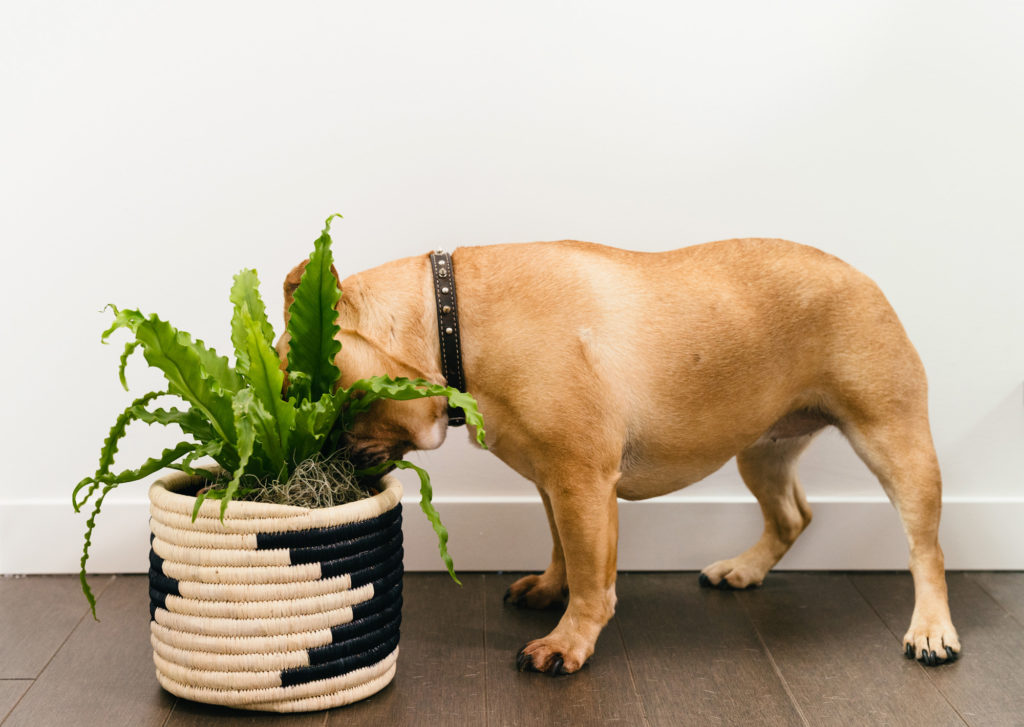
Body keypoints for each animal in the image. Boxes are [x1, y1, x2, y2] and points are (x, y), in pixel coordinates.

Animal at [274, 240, 958, 675]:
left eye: (301, 392)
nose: (323, 454)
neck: (451, 324)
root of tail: (860, 275)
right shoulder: (554, 482)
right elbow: (562, 549)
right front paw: (550, 588)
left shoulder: (581, 481)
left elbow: (590, 573)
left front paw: (568, 642)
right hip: (762, 450)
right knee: (791, 515)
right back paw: (744, 570)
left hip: (892, 437)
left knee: (926, 548)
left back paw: (931, 631)